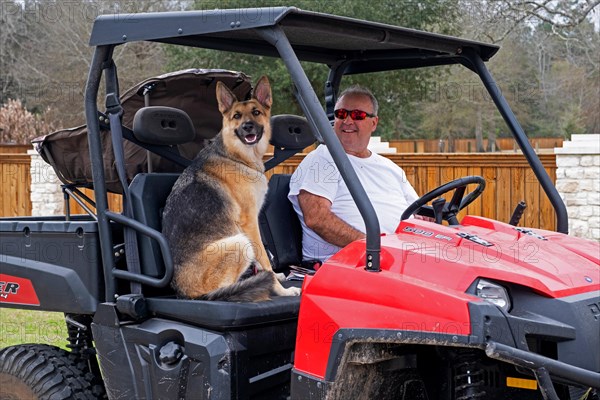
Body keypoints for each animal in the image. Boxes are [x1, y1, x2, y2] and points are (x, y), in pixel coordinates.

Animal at [163, 76, 300, 302]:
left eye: (256, 112)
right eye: (236, 116)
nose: (247, 127)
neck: (236, 156)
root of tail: (186, 295)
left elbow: (263, 259)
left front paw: (277, 276)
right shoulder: (249, 222)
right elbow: (264, 258)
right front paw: (280, 288)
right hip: (239, 242)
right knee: (228, 290)